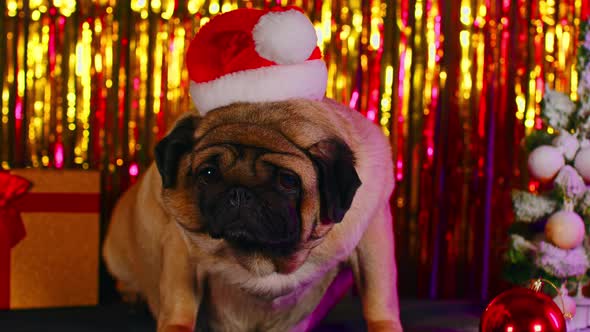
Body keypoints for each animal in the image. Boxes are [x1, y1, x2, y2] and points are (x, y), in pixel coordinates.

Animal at [104, 97, 404, 330]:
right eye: (208, 174)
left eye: (287, 181)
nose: (240, 192)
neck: (260, 259)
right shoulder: (181, 252)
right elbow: (180, 303)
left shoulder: (371, 242)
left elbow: (379, 299)